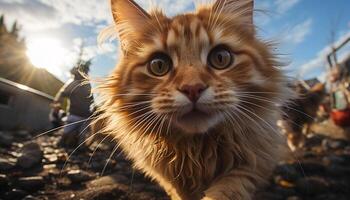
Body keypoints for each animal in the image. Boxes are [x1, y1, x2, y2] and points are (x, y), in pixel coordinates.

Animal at [95, 0, 290, 199]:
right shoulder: (168, 179)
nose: (193, 88)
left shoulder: (253, 161)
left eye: (221, 58)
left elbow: (230, 188)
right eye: (158, 65)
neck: (197, 151)